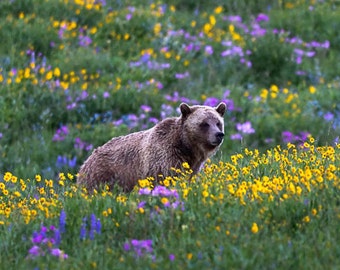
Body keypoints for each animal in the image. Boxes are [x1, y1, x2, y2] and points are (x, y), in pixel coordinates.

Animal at [76, 102, 226, 192]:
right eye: (204, 123)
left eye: (218, 123)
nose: (219, 135)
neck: (187, 147)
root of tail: (88, 159)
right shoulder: (164, 159)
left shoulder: (192, 165)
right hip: (102, 174)